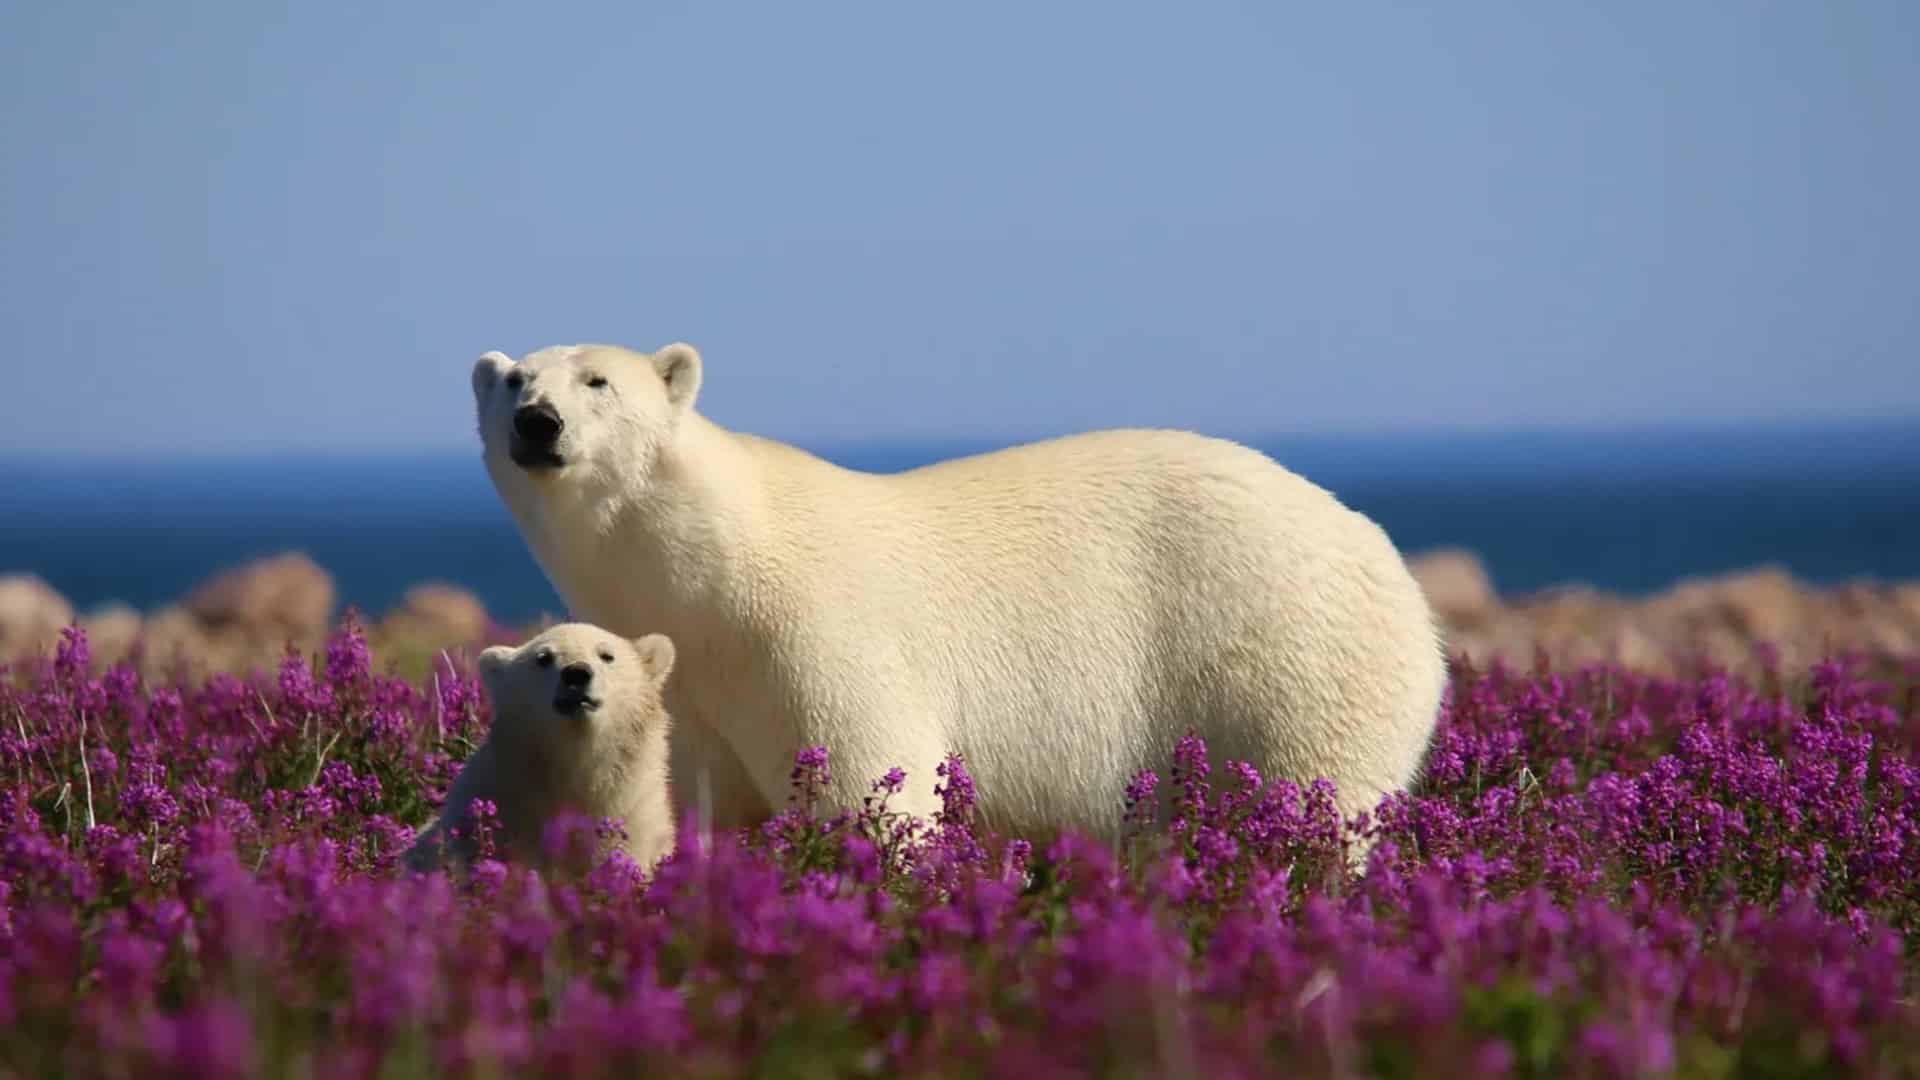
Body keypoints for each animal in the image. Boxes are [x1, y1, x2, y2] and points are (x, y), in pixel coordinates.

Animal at [468, 342, 1447, 849]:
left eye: (598, 381)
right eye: (514, 382)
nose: (536, 423)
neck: (707, 578)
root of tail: (1389, 559)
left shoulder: (811, 638)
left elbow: (871, 787)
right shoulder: (692, 692)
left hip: (1287, 659)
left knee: (1312, 802)